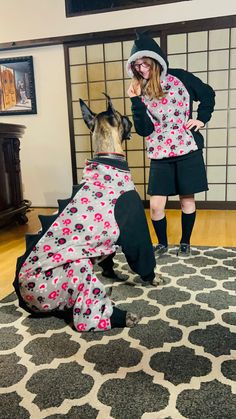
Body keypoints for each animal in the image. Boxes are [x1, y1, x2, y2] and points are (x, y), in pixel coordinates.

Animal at [13, 93, 159, 334]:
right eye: (124, 118)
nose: (130, 119)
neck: (107, 154)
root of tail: (23, 300)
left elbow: (109, 258)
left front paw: (111, 274)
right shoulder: (135, 227)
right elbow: (143, 256)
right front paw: (153, 279)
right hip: (74, 269)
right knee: (85, 312)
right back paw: (122, 317)